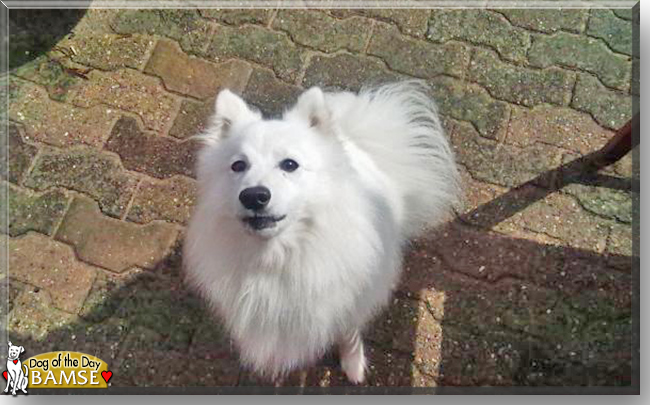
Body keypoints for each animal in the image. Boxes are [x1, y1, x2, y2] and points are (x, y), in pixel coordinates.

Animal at [182, 79, 460, 382]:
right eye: (238, 165)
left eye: (290, 164)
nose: (253, 196)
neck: (278, 257)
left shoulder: (345, 304)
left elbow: (349, 336)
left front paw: (353, 365)